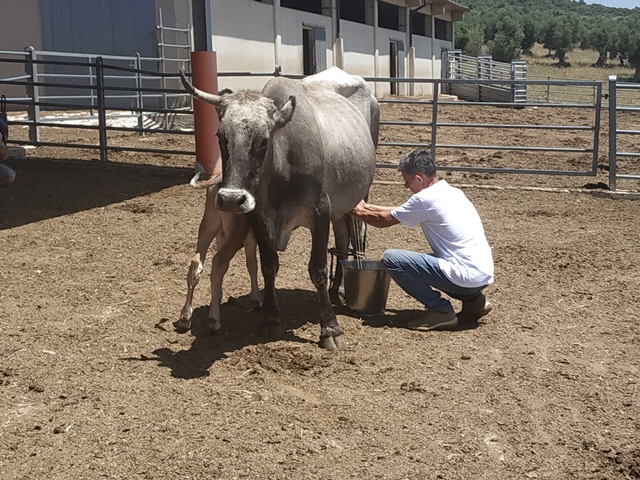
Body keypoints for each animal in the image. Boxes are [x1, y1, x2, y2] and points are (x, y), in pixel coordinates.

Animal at [179, 66, 380, 348]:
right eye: (220, 136)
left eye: (263, 140)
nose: (230, 199)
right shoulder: (258, 216)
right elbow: (268, 266)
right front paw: (271, 319)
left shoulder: (320, 211)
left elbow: (317, 269)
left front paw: (330, 329)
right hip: (339, 208)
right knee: (342, 241)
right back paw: (336, 289)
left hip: (359, 196)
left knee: (357, 236)